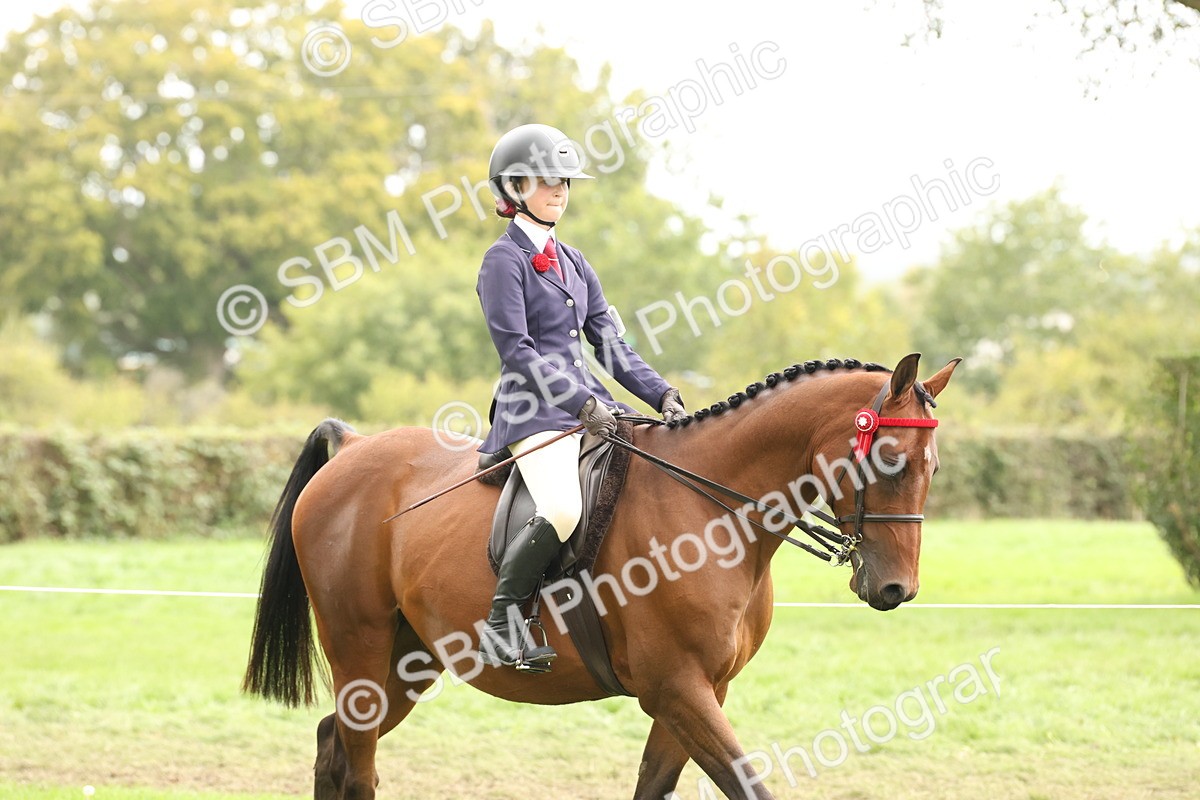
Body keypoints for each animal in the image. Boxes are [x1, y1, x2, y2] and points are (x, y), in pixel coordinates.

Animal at [242, 353, 960, 799]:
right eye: (891, 458)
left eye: (933, 466)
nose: (895, 590)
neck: (712, 512)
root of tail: (356, 448)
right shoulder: (676, 687)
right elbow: (747, 784)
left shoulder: (703, 691)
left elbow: (654, 785)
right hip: (360, 650)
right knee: (357, 768)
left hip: (405, 661)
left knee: (333, 746)